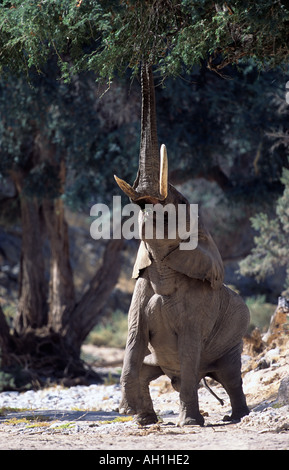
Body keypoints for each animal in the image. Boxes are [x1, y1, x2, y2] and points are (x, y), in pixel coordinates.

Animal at [113, 62, 249, 426]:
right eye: (136, 212)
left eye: (177, 206)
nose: (145, 57)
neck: (163, 268)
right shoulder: (140, 287)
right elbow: (133, 342)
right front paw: (132, 415)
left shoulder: (199, 306)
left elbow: (189, 348)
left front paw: (189, 423)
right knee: (148, 372)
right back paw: (147, 419)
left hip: (233, 340)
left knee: (229, 376)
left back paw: (234, 418)